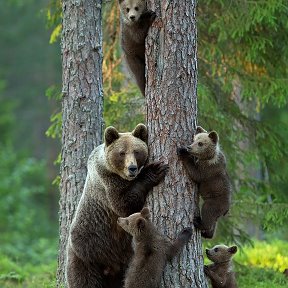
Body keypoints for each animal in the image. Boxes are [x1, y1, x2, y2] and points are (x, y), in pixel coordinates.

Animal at [66, 125, 168, 288]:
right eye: (122, 152)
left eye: (136, 151)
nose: (132, 168)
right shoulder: (108, 183)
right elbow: (123, 205)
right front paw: (154, 170)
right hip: (86, 254)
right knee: (84, 280)